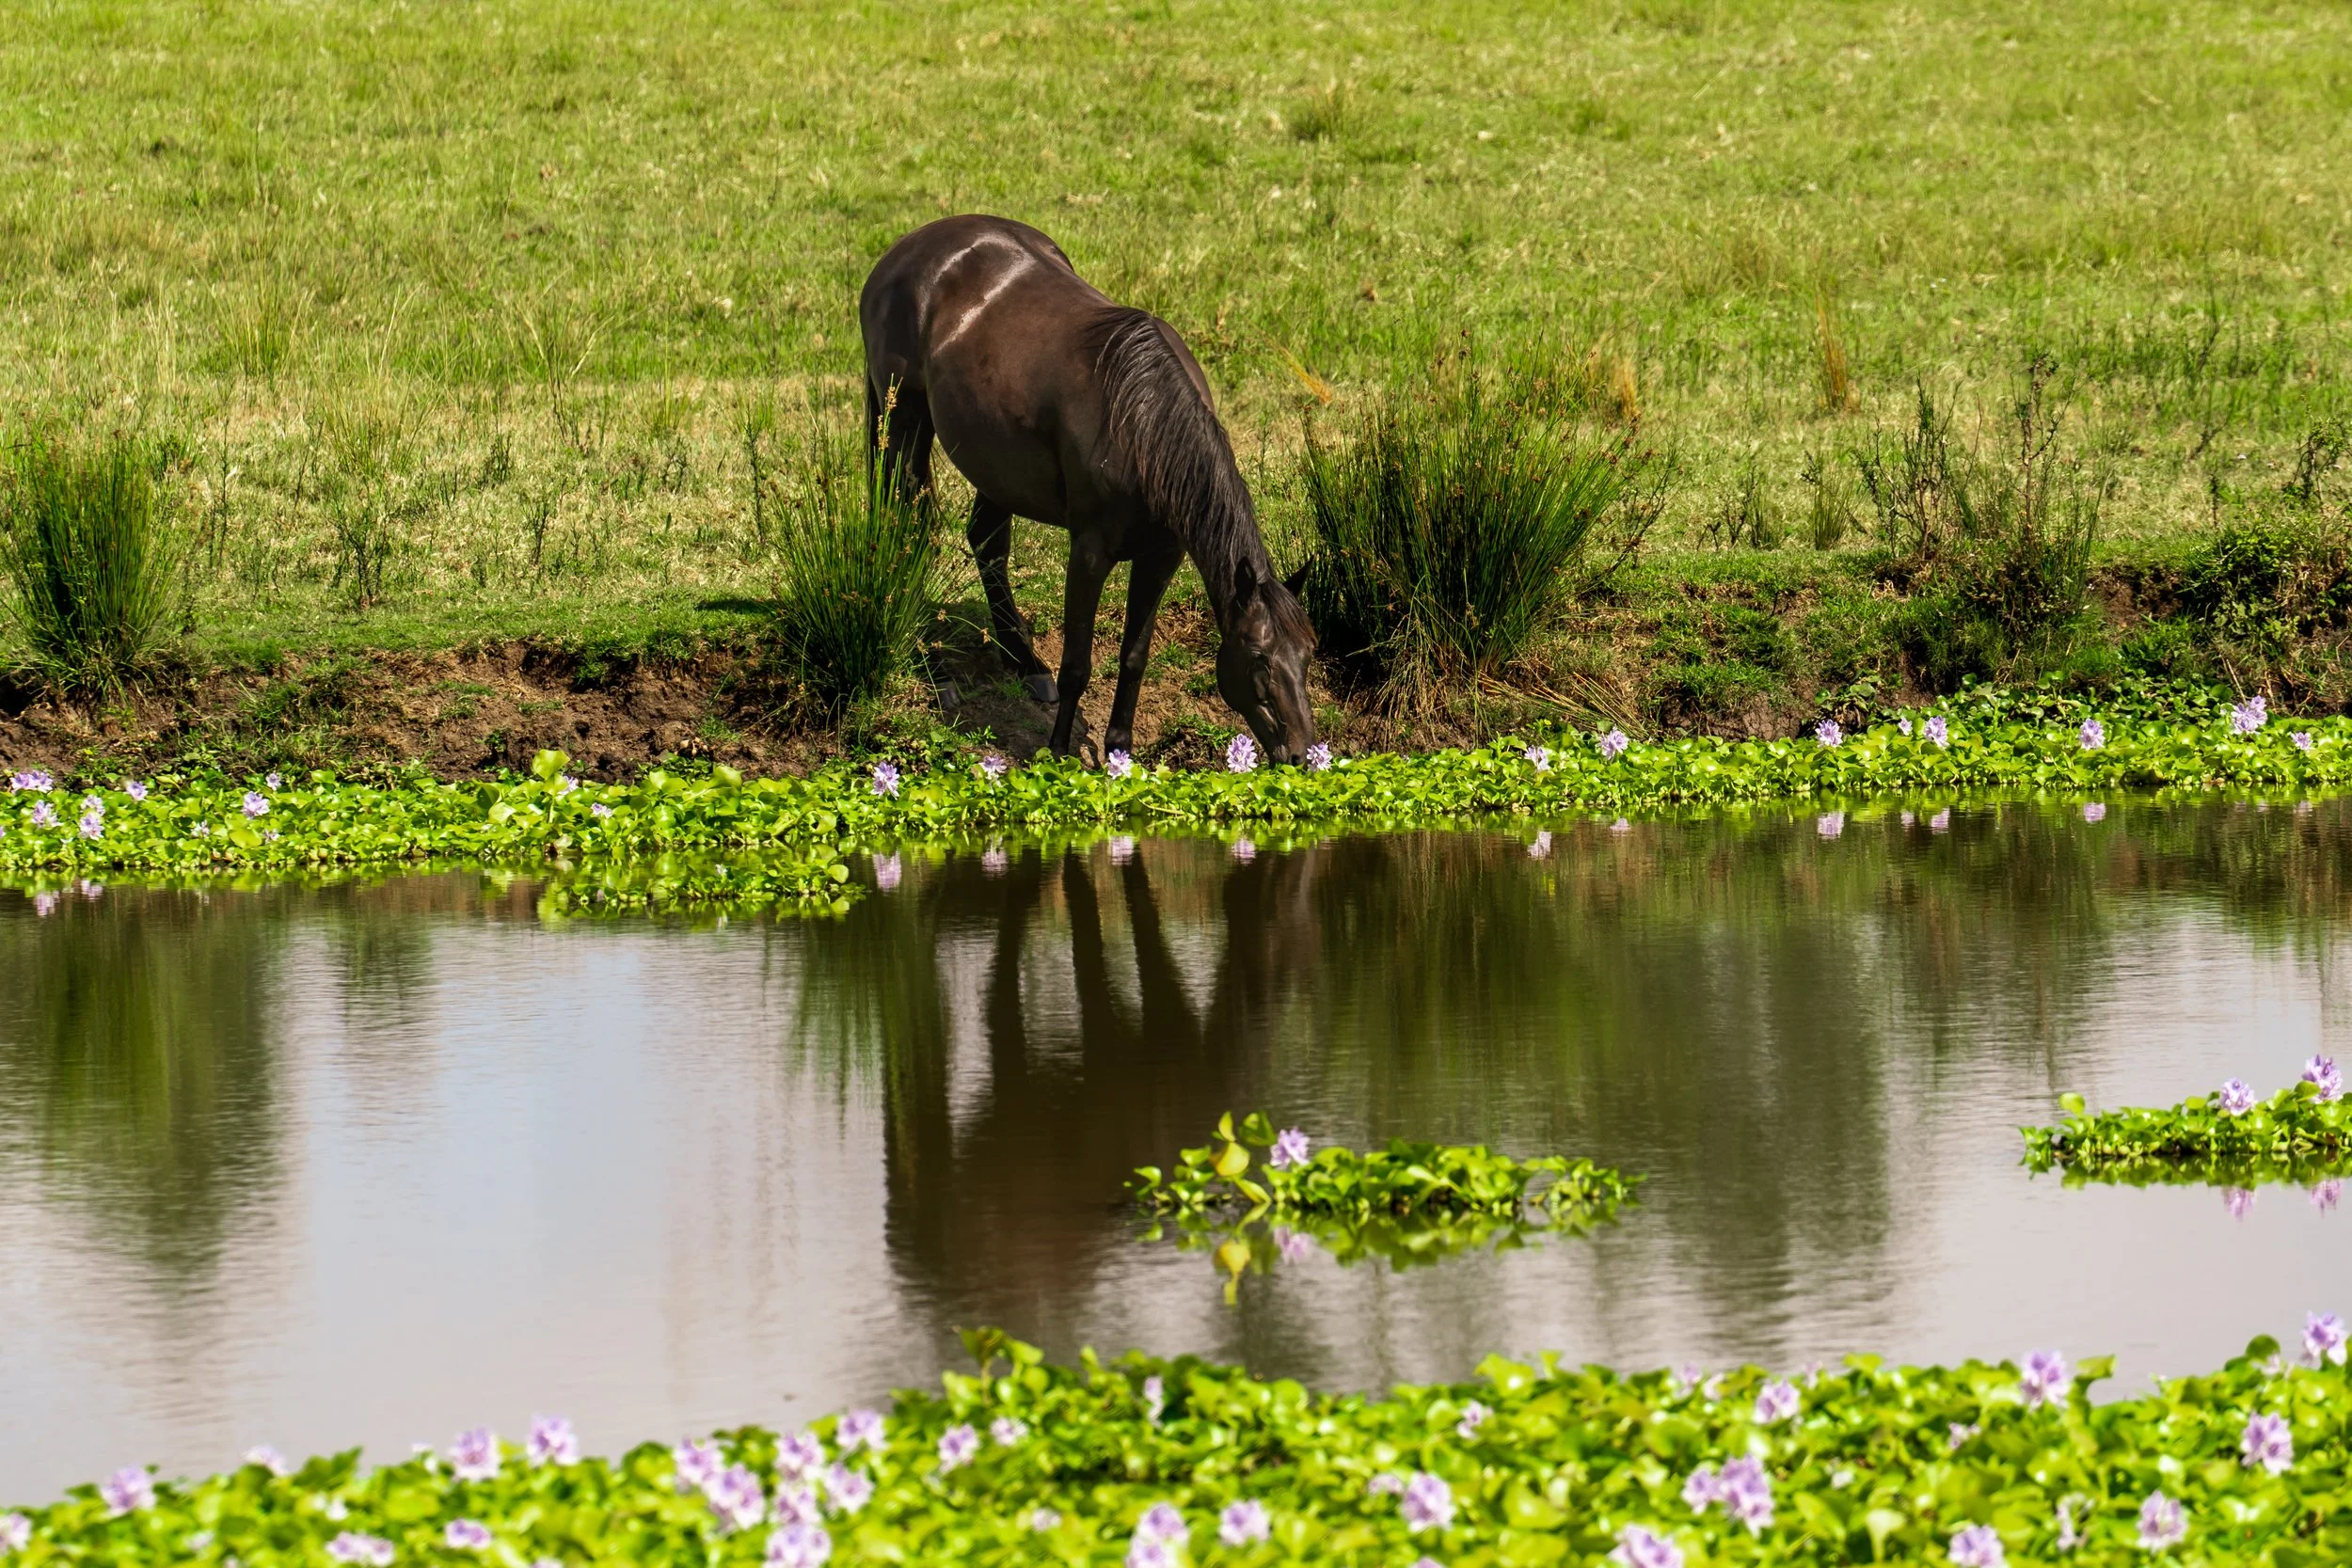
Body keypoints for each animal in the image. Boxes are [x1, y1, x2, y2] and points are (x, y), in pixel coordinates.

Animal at [859, 214, 1319, 764]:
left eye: (1309, 653)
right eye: (1258, 658)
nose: (1304, 754)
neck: (1142, 427)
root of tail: (904, 251)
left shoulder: (1161, 557)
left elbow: (1134, 656)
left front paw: (1120, 752)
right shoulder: (1089, 553)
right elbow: (1077, 663)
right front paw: (1059, 752)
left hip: (995, 464)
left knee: (987, 542)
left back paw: (1025, 662)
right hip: (902, 423)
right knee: (910, 535)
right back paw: (939, 675)